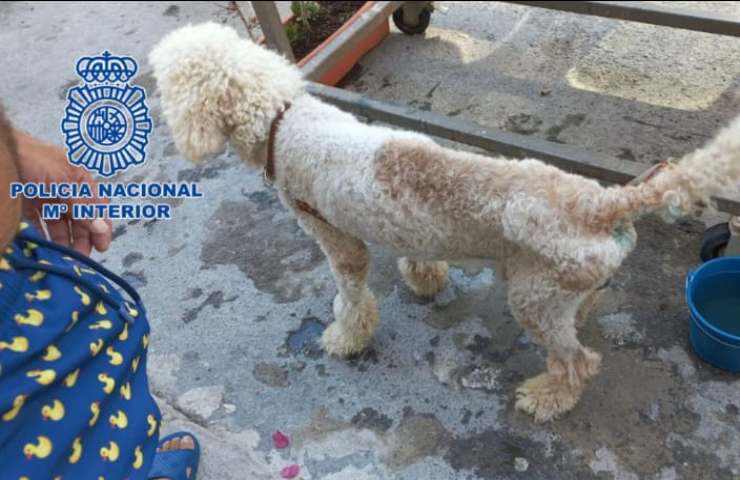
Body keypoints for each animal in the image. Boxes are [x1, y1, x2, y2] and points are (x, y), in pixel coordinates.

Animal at [150, 23, 740, 422]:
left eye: (167, 81)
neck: (280, 118)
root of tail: (603, 202)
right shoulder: (406, 224)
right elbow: (417, 252)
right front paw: (425, 278)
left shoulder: (336, 239)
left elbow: (352, 293)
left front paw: (345, 336)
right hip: (557, 288)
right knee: (582, 312)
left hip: (532, 300)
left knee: (576, 362)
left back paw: (549, 397)